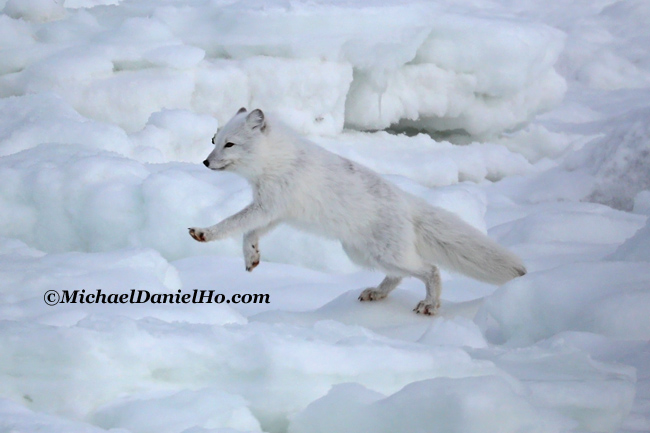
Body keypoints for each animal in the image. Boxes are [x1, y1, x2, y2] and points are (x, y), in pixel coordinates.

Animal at [190, 109, 524, 314]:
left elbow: (232, 224)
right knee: (399, 276)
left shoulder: (268, 205)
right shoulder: (276, 212)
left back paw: (429, 305)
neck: (277, 161)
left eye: (230, 145)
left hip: (385, 253)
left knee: (430, 269)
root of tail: (406, 200)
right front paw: (252, 257)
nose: (205, 162)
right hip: (363, 255)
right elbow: (248, 233)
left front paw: (204, 233)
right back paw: (377, 293)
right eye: (214, 141)